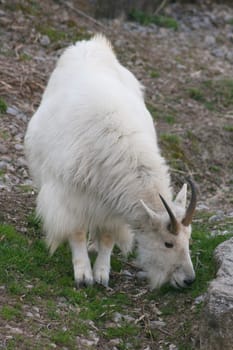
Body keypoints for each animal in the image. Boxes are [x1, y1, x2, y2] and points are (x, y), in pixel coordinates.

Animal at [25, 33, 197, 290]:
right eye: (168, 243)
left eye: (189, 238)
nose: (188, 279)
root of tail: (92, 44)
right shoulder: (69, 197)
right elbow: (76, 231)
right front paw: (83, 275)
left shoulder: (112, 207)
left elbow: (107, 236)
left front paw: (102, 273)